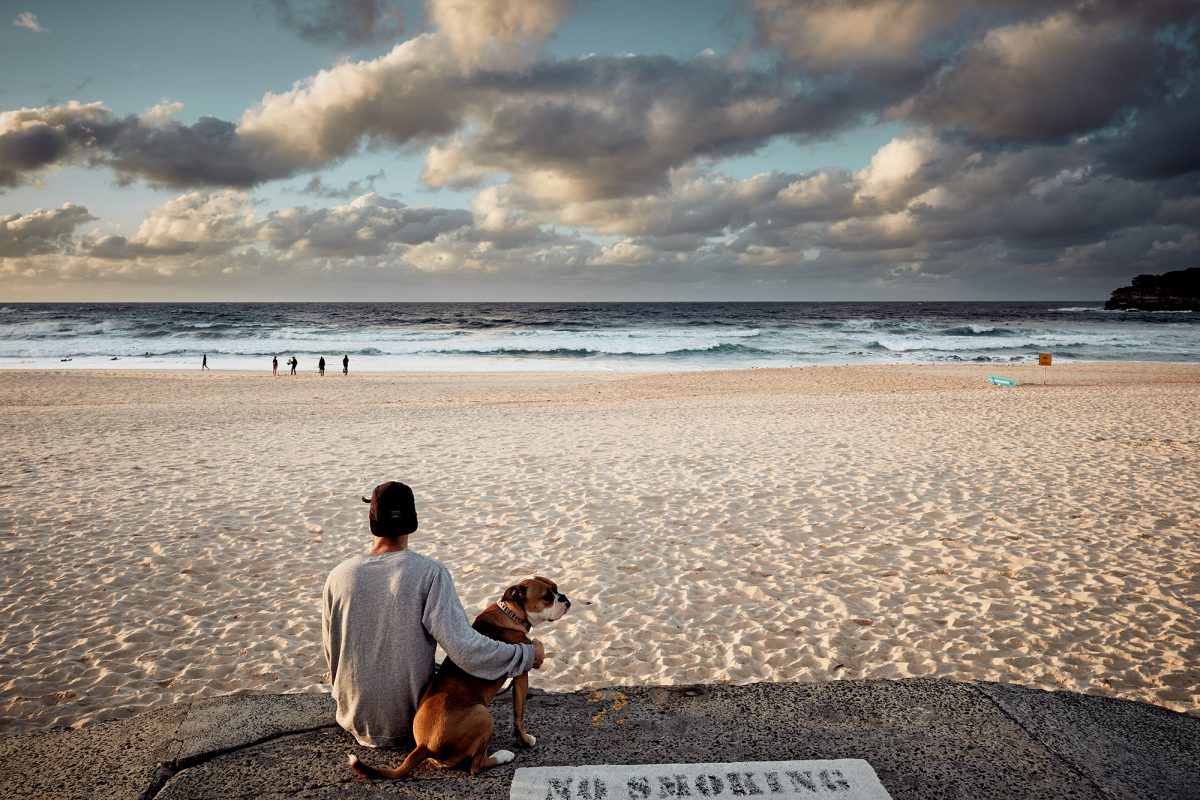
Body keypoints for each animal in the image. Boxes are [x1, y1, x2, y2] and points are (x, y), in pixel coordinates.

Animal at [350, 578, 568, 777]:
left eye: (556, 588)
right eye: (547, 597)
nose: (564, 598)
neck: (512, 614)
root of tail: (424, 745)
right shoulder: (521, 675)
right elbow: (519, 716)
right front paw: (525, 740)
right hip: (483, 714)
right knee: (475, 767)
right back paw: (502, 756)